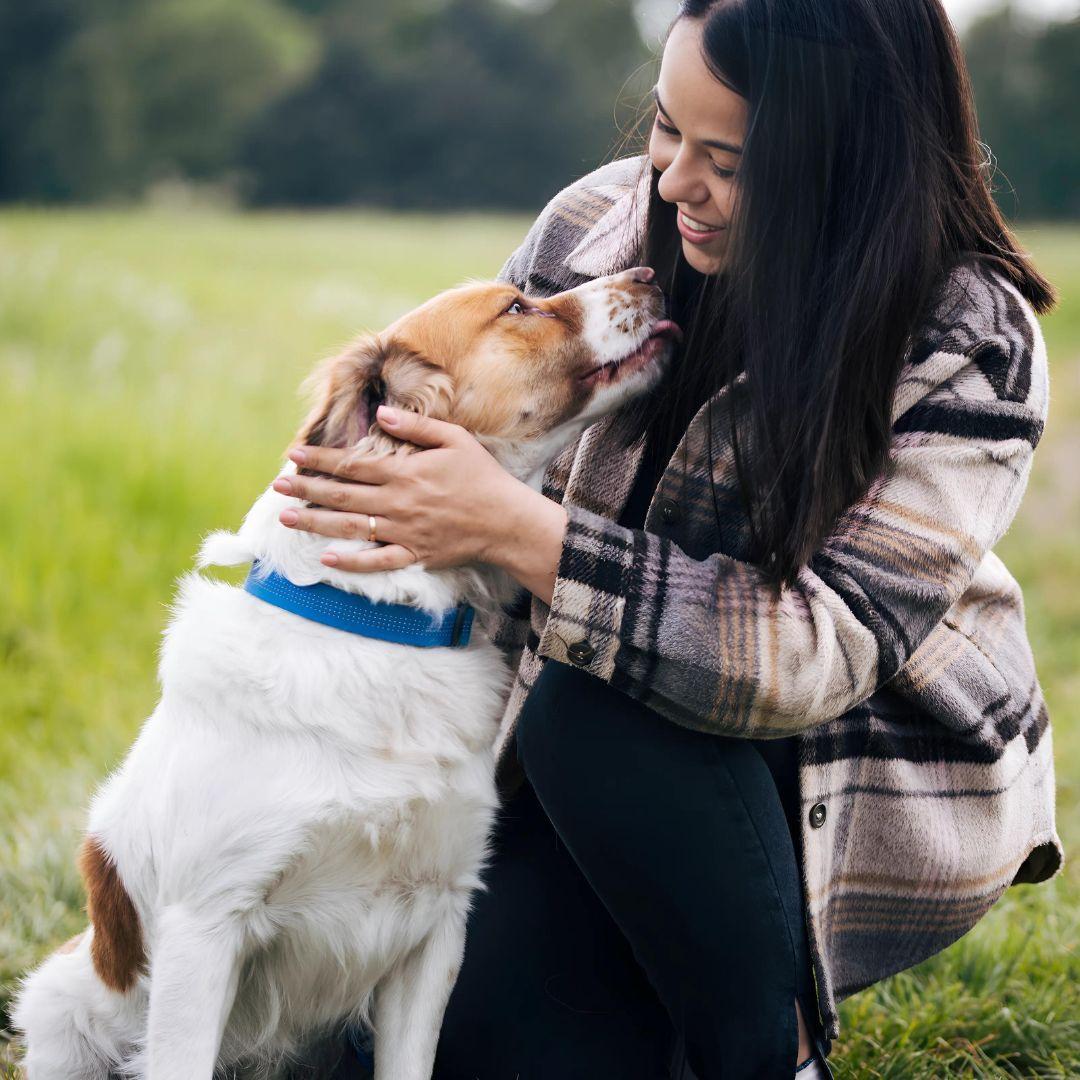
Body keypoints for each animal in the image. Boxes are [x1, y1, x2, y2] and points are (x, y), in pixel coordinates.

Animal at [12, 263, 678, 1080]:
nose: (650, 271)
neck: (379, 626)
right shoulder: (205, 930)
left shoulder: (437, 926)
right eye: (517, 307)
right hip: (60, 1006)